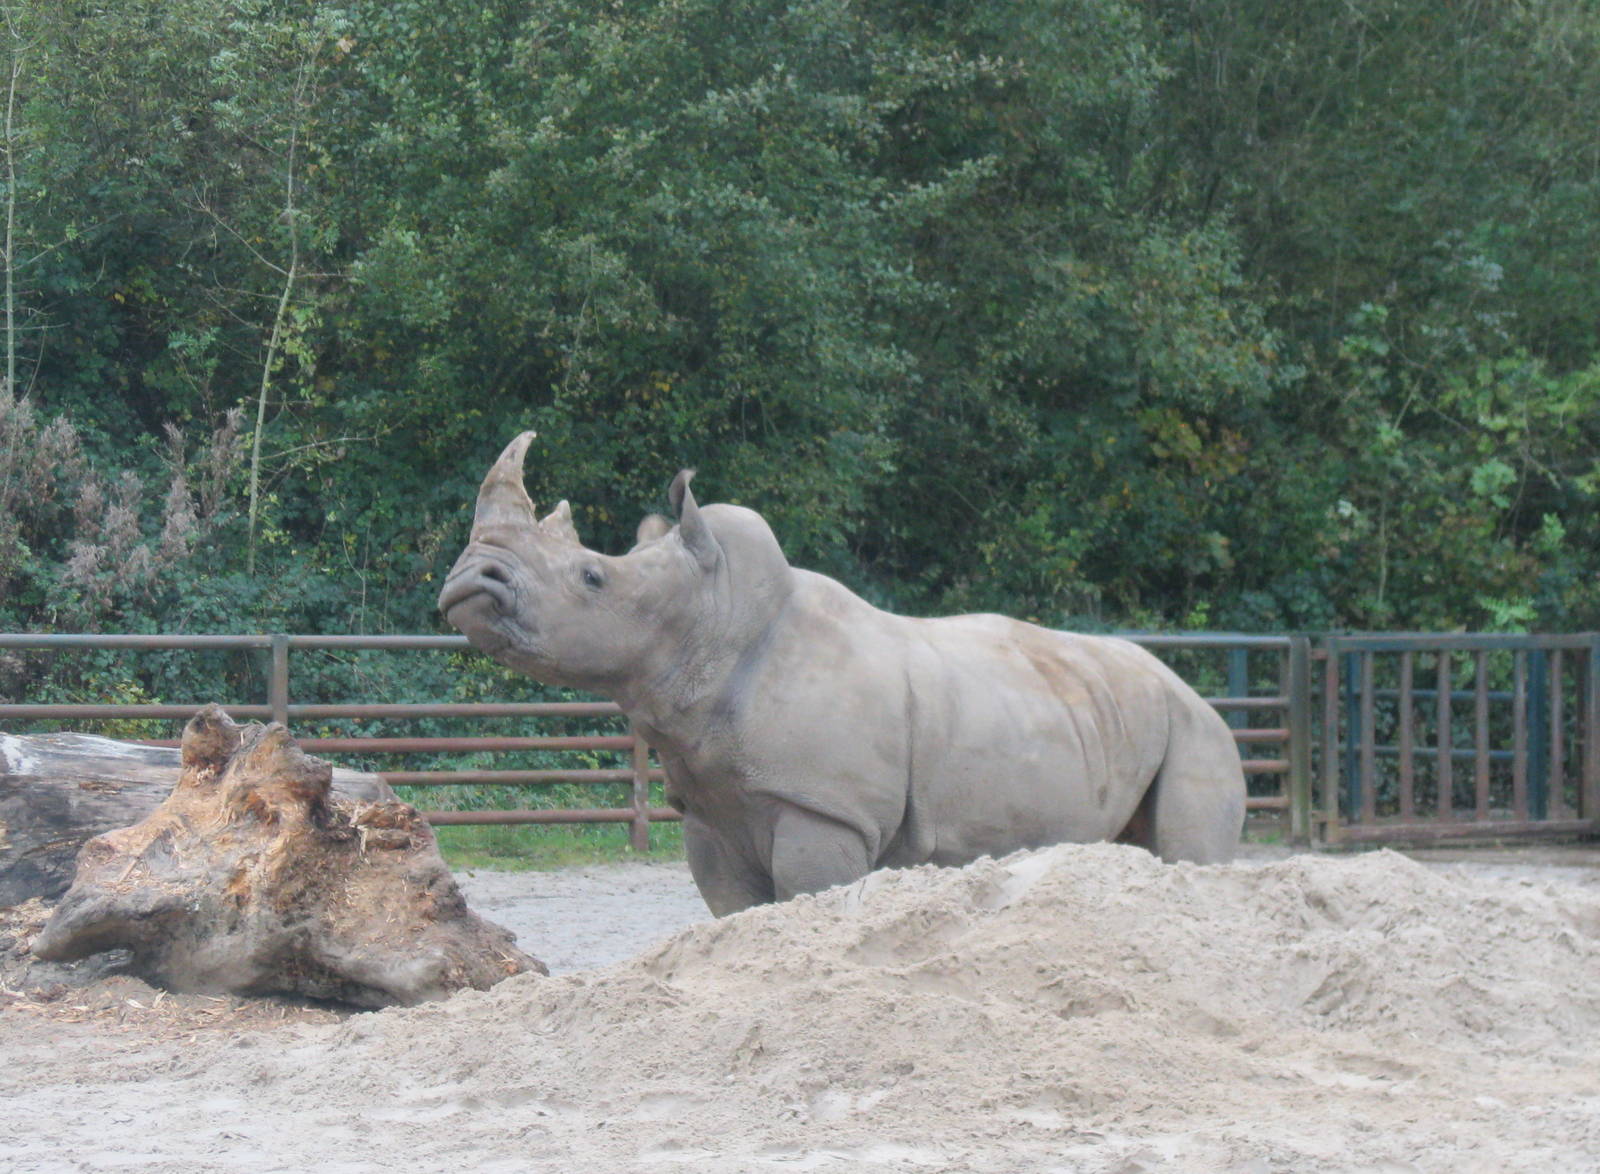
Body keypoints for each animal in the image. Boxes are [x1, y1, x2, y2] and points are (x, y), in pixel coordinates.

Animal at [439, 433, 1247, 915]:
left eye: (591, 578)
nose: (469, 581)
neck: (712, 619)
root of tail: (1193, 690)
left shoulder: (827, 807)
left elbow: (805, 897)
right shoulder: (711, 810)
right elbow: (733, 913)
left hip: (1196, 729)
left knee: (1190, 849)